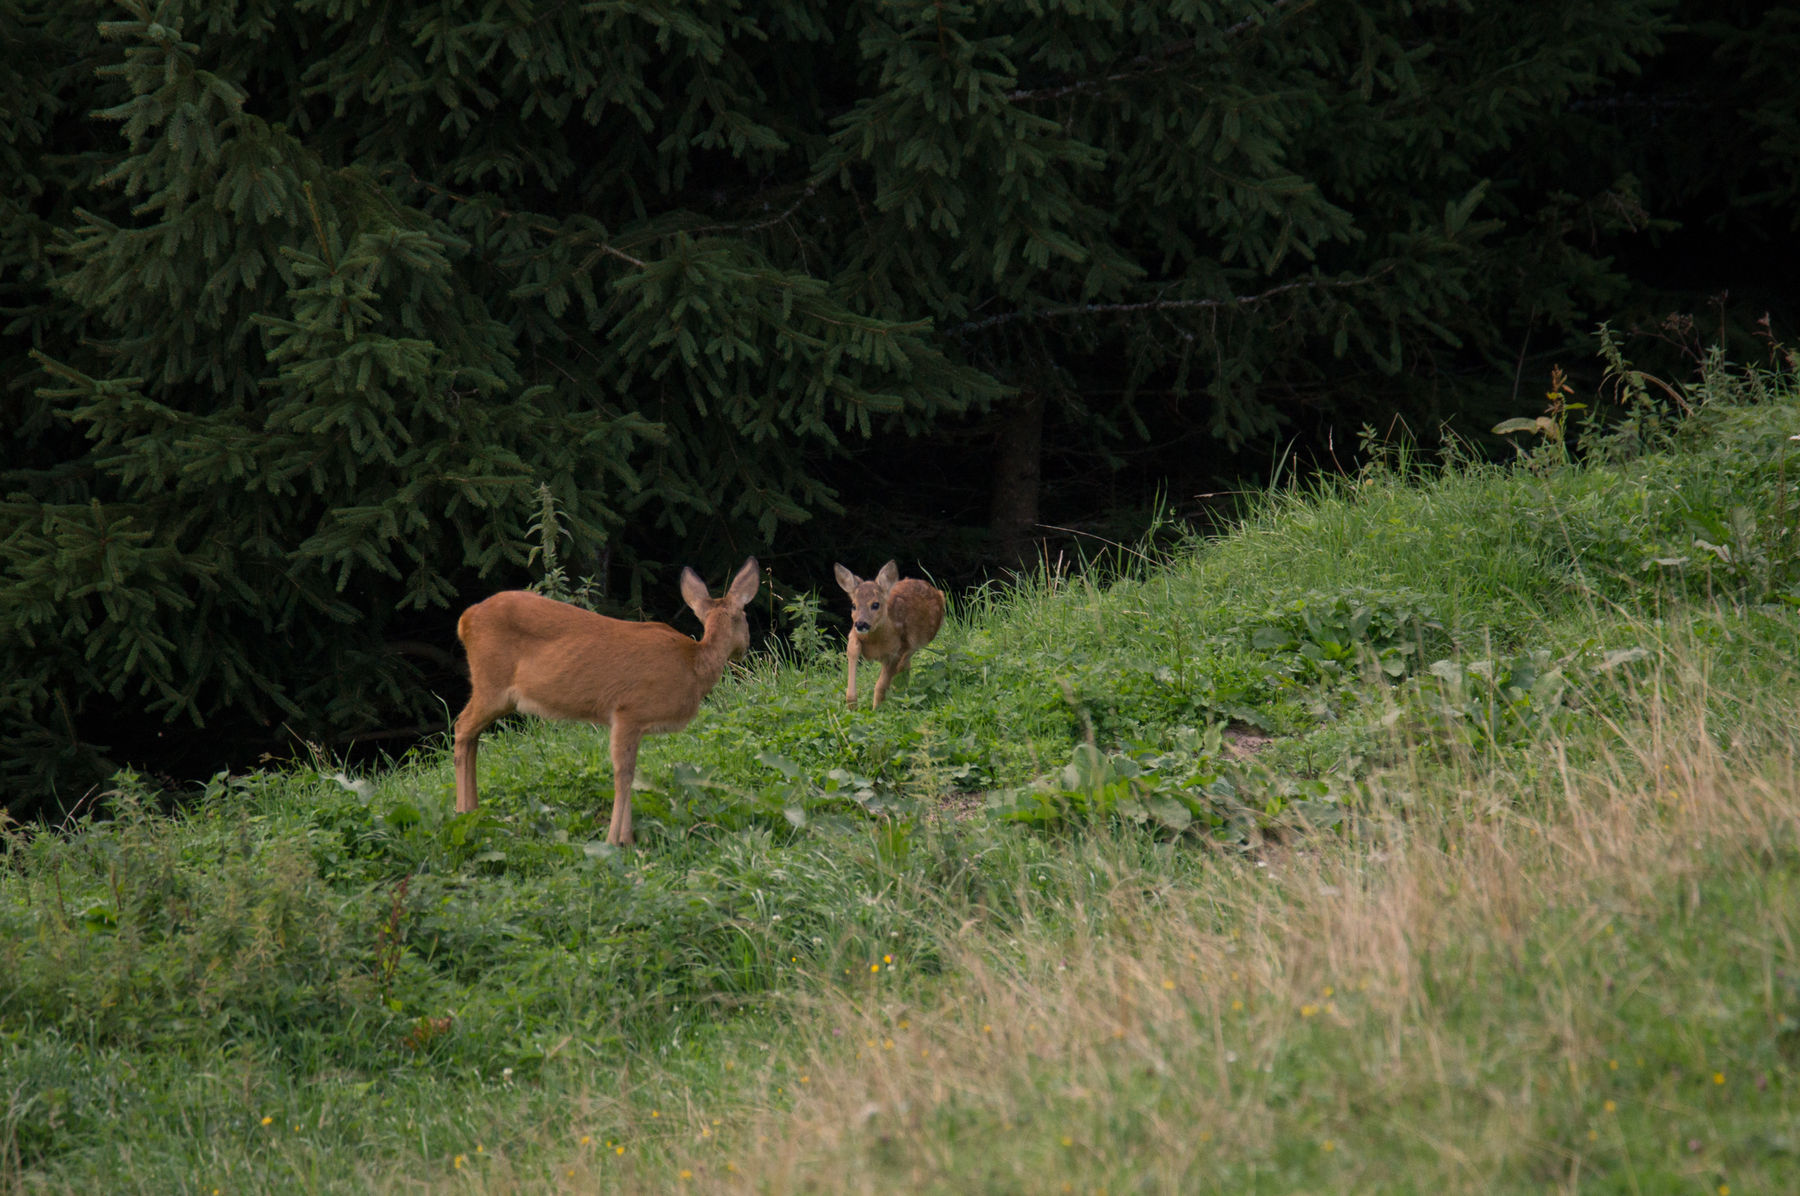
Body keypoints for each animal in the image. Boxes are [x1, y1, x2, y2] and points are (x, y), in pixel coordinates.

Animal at [457, 558, 759, 846]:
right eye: (745, 615)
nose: (746, 647)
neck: (693, 665)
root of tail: (465, 619)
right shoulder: (629, 711)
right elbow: (623, 773)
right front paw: (617, 840)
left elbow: (633, 772)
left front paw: (627, 837)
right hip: (491, 684)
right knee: (461, 727)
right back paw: (462, 812)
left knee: (472, 735)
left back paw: (473, 811)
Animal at [828, 561, 943, 709]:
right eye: (853, 606)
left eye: (875, 604)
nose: (861, 624)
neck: (875, 642)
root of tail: (936, 591)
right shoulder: (853, 636)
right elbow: (853, 653)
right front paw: (852, 707)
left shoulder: (898, 650)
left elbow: (881, 685)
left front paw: (876, 709)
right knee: (905, 668)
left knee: (903, 668)